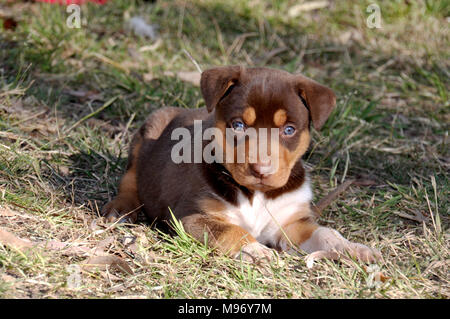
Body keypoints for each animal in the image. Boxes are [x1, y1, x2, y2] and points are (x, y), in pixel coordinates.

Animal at [101, 66, 380, 266]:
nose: (261, 170)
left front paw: (353, 249)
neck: (257, 194)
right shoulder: (190, 217)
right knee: (130, 178)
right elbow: (231, 231)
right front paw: (257, 250)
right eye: (238, 125)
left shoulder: (290, 223)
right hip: (147, 132)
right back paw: (120, 208)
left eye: (289, 130)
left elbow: (326, 234)